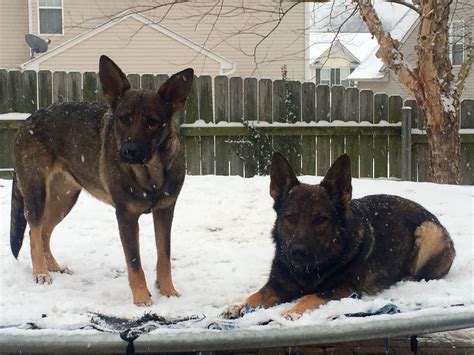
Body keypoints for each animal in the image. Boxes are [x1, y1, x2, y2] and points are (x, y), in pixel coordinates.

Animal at [10, 55, 193, 306]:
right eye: (124, 119)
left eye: (152, 122)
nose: (128, 152)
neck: (149, 173)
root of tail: (27, 120)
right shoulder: (126, 216)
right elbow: (134, 262)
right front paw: (141, 299)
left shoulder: (165, 211)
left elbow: (164, 256)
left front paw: (168, 292)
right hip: (36, 192)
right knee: (35, 232)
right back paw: (41, 273)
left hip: (63, 199)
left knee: (43, 231)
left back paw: (54, 267)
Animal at [225, 153, 456, 320]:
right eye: (290, 217)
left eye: (320, 219)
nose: (297, 252)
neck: (307, 271)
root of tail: (432, 216)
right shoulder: (276, 286)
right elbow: (256, 295)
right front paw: (238, 305)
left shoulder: (346, 289)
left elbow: (311, 296)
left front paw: (292, 311)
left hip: (428, 232)